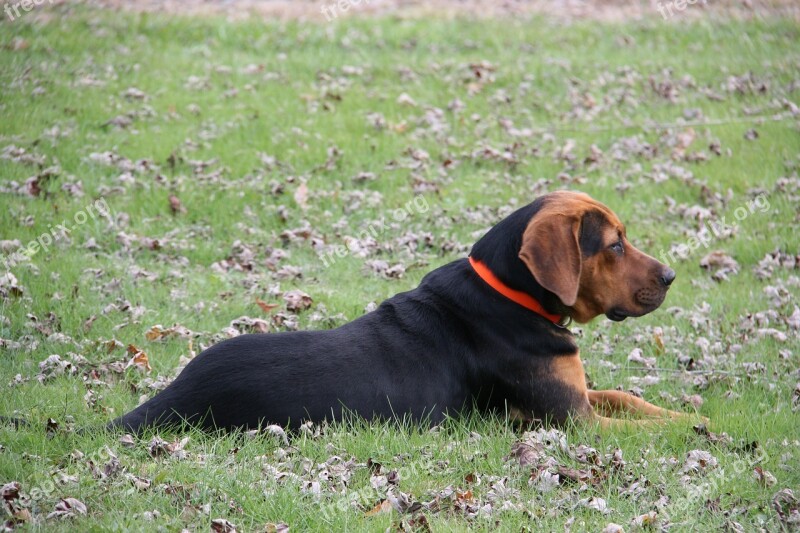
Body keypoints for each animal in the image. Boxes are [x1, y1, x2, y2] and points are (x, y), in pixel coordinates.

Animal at [106, 191, 692, 432]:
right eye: (614, 245)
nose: (671, 277)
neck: (509, 295)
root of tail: (171, 398)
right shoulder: (575, 421)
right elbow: (646, 435)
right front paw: (700, 433)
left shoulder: (583, 399)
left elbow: (630, 399)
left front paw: (692, 416)